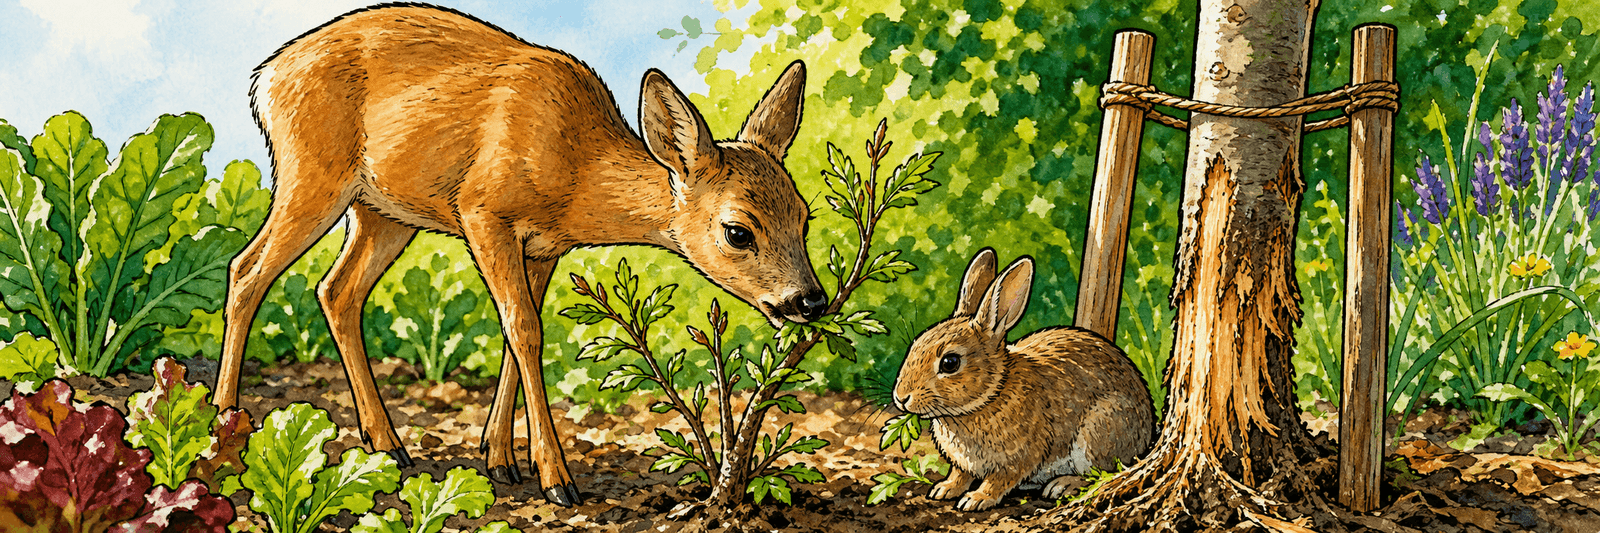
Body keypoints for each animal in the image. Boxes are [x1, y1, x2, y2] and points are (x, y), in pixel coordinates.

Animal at [213, 3, 824, 507]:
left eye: (804, 216)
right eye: (738, 232)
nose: (810, 301)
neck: (577, 172)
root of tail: (264, 78)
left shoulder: (544, 245)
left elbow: (516, 334)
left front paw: (500, 458)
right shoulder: (482, 212)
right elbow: (525, 328)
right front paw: (557, 480)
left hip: (382, 212)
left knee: (336, 290)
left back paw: (386, 444)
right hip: (312, 176)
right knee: (246, 269)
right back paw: (223, 423)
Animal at [891, 248, 1155, 511]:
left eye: (950, 362)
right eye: (915, 345)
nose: (901, 397)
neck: (992, 394)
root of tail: (1147, 435)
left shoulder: (1019, 458)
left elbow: (998, 480)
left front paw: (976, 499)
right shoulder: (964, 463)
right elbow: (959, 474)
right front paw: (944, 489)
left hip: (1100, 429)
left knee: (1103, 472)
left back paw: (1062, 485)